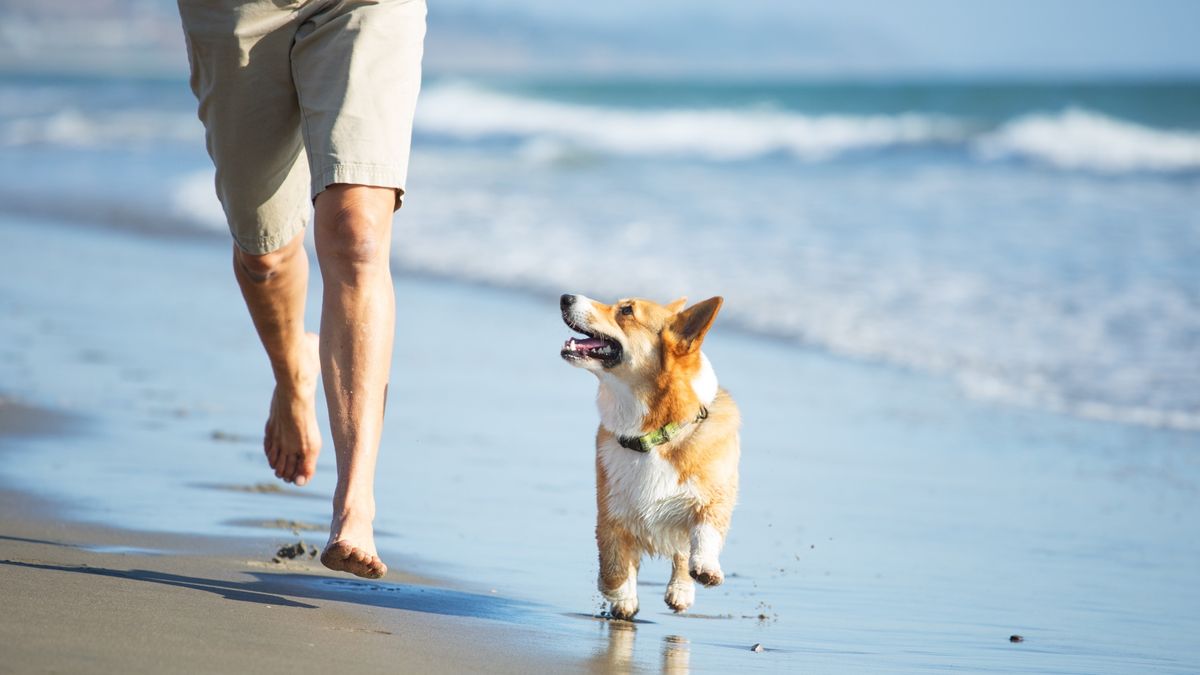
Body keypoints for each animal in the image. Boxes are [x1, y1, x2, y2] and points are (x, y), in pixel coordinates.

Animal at [561, 291, 739, 619]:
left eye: (627, 311)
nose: (565, 297)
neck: (653, 437)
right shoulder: (611, 513)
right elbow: (613, 567)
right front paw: (621, 596)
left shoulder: (713, 498)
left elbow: (702, 535)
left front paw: (704, 571)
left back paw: (682, 590)